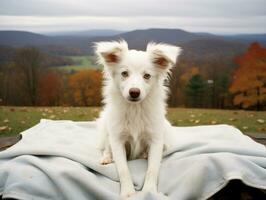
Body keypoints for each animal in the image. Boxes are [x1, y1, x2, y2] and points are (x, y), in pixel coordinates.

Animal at [95, 39, 181, 198]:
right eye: (124, 73)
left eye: (147, 76)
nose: (134, 92)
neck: (135, 109)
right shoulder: (117, 140)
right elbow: (123, 169)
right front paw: (128, 192)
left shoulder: (156, 139)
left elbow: (152, 169)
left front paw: (149, 191)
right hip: (106, 128)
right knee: (106, 147)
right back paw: (106, 158)